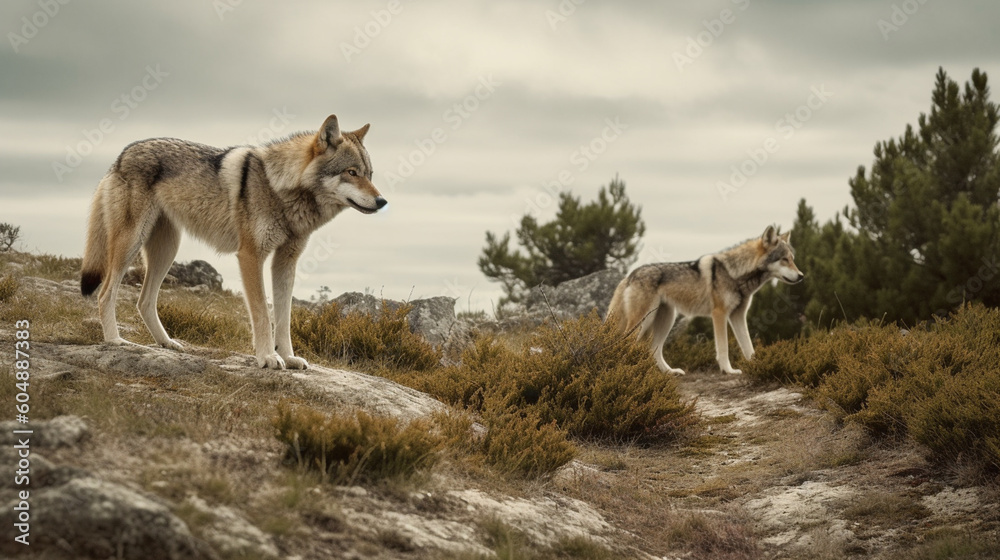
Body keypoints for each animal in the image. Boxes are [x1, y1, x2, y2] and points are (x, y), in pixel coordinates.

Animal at [80, 114, 386, 370]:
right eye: (351, 172)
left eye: (370, 175)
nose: (382, 201)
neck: (281, 189)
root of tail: (123, 153)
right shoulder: (251, 256)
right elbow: (262, 313)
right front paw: (267, 358)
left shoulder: (285, 262)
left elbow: (283, 318)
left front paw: (288, 357)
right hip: (131, 244)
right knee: (106, 293)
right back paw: (115, 341)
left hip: (166, 251)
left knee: (144, 301)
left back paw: (166, 343)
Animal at [607, 226, 803, 375]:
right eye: (784, 259)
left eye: (793, 259)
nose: (801, 276)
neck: (735, 274)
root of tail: (629, 275)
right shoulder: (720, 314)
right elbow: (723, 348)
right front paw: (729, 371)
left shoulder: (738, 316)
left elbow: (748, 346)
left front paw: (758, 366)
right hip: (642, 322)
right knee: (626, 344)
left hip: (665, 320)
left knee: (653, 350)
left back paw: (669, 372)